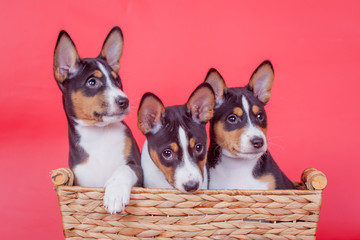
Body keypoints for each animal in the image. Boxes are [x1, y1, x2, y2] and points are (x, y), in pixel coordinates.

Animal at [52, 27, 143, 213]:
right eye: (92, 82)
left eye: (117, 81)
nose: (124, 101)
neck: (99, 133)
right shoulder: (82, 182)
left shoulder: (137, 168)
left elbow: (123, 169)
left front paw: (115, 193)